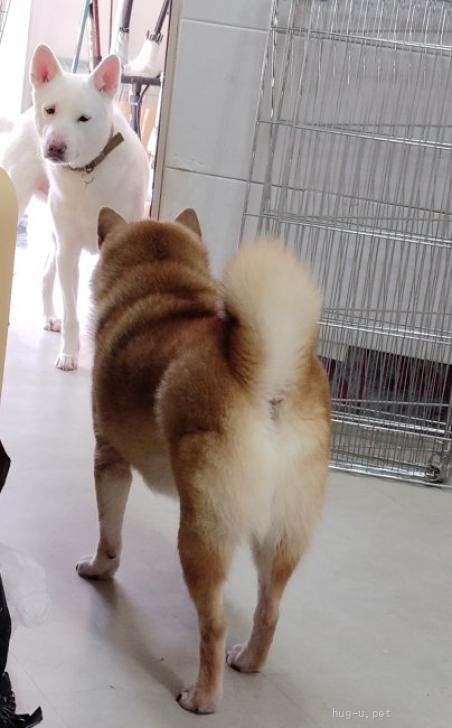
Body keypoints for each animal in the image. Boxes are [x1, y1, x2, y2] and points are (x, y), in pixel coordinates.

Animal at [0, 45, 149, 370]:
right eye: (50, 110)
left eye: (84, 119)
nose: (55, 148)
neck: (88, 171)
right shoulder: (69, 250)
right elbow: (71, 309)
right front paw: (69, 352)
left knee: (46, 274)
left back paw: (50, 317)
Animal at [77, 206, 331, 713]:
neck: (163, 288)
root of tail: (270, 383)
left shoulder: (109, 461)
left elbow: (109, 534)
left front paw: (99, 570)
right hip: (279, 537)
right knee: (269, 611)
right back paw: (249, 661)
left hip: (201, 535)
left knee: (213, 625)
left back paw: (202, 697)